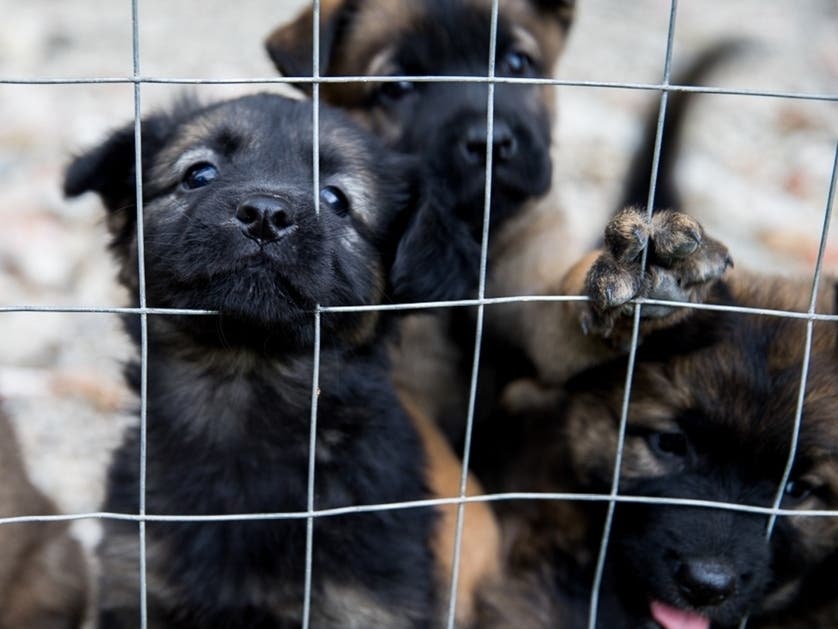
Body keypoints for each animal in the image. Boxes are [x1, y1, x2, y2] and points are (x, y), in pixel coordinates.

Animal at [65, 93, 502, 628]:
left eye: (336, 199)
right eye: (199, 174)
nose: (264, 214)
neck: (247, 383)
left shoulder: (365, 604)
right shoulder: (137, 581)